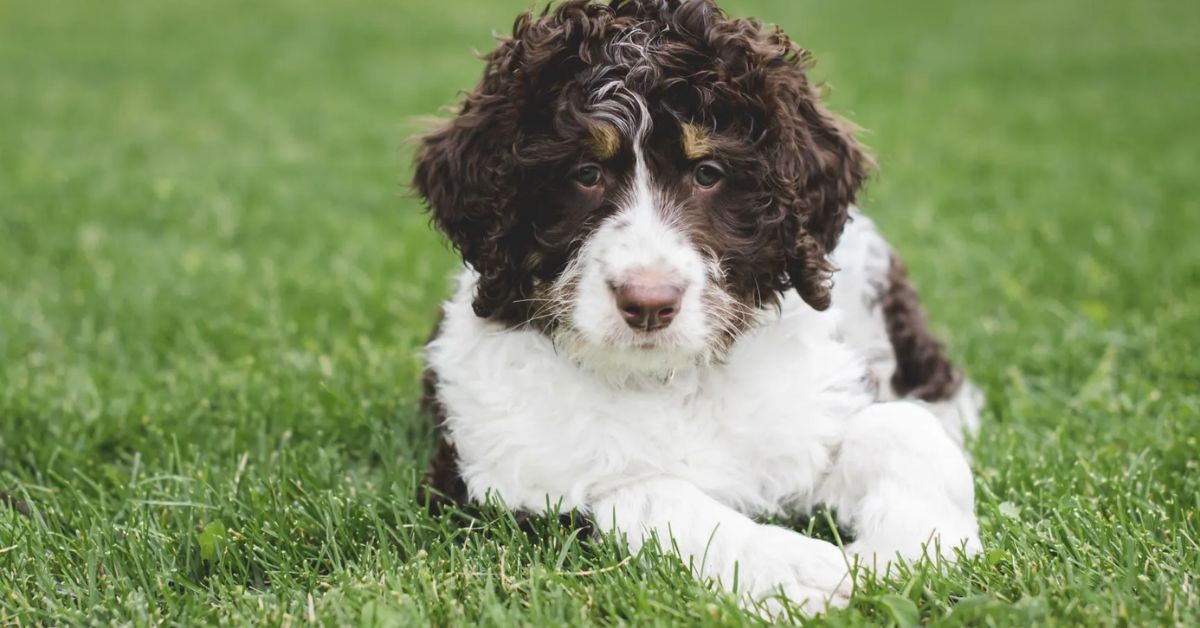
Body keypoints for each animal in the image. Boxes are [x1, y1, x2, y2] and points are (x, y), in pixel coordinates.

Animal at [412, 0, 984, 614]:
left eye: (708, 174)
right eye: (586, 174)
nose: (648, 303)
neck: (666, 381)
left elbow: (899, 427)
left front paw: (916, 544)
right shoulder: (490, 491)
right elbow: (642, 492)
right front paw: (791, 570)